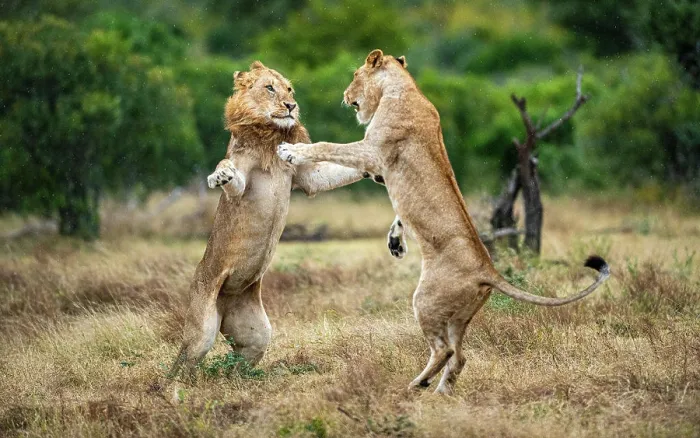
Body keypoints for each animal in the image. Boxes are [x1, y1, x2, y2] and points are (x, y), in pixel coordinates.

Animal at [169, 61, 385, 380]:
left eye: (289, 89)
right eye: (270, 88)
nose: (291, 105)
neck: (270, 135)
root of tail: (226, 297)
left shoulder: (308, 178)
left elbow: (335, 170)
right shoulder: (243, 179)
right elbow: (231, 175)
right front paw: (219, 175)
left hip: (257, 332)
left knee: (237, 361)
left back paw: (240, 380)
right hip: (202, 328)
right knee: (184, 362)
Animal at [277, 49, 610, 395]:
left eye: (355, 75)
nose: (345, 95)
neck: (403, 88)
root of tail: (488, 271)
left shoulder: (371, 151)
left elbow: (327, 147)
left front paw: (291, 150)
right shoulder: (378, 168)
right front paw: (395, 241)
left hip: (426, 300)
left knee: (444, 350)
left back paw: (417, 384)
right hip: (458, 316)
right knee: (460, 356)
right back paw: (441, 393)